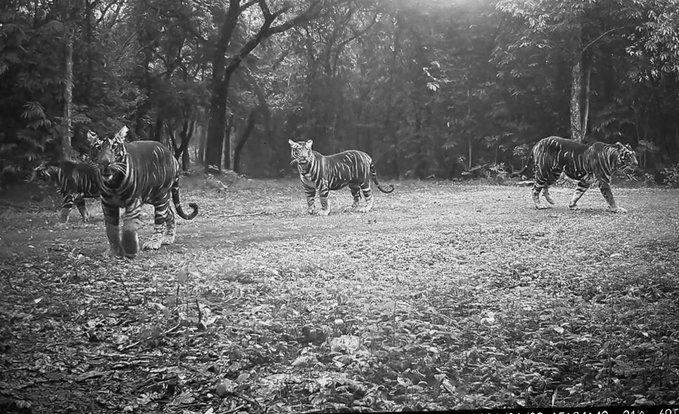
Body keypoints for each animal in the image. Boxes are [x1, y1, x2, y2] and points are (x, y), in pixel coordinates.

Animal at [87, 126, 198, 258]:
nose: (105, 162)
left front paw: (131, 250)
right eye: (98, 147)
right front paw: (113, 251)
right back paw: (168, 238)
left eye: (114, 146)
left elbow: (129, 227)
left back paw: (154, 243)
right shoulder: (107, 204)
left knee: (160, 221)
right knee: (170, 213)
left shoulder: (133, 202)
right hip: (153, 197)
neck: (113, 183)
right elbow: (111, 230)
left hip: (161, 196)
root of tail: (173, 157)